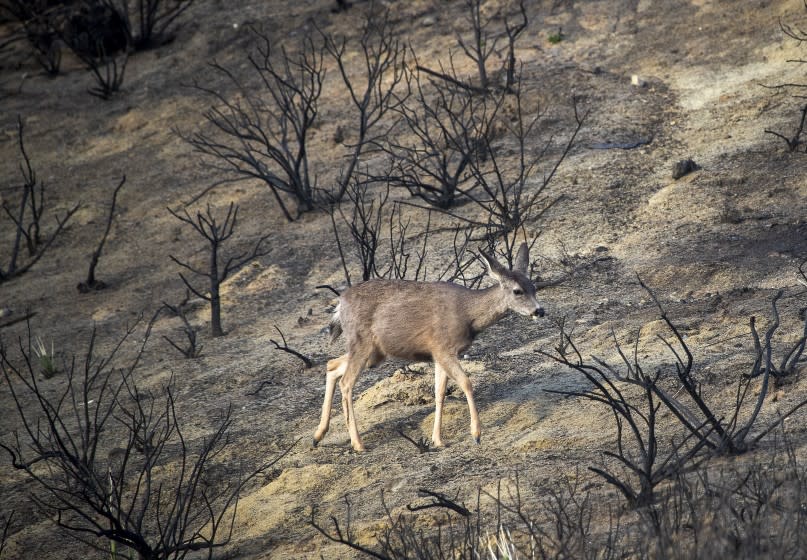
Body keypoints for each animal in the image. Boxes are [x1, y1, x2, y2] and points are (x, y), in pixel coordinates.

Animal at [312, 243, 548, 452]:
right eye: (517, 291)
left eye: (534, 287)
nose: (539, 311)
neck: (467, 314)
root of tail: (340, 304)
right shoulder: (443, 348)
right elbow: (466, 383)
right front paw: (476, 434)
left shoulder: (437, 354)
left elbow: (439, 392)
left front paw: (438, 440)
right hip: (362, 343)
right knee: (347, 382)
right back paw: (357, 443)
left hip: (374, 352)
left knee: (332, 365)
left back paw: (318, 435)